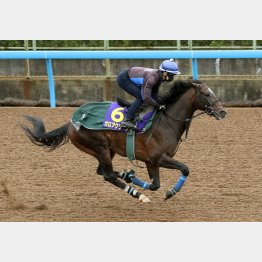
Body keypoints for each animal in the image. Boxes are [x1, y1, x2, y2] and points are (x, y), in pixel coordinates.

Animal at [21, 80, 225, 203]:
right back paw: (137, 194)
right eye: (207, 94)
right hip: (100, 147)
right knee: (108, 175)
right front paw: (170, 192)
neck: (166, 121)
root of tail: (71, 122)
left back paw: (128, 177)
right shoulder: (158, 158)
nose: (222, 111)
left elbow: (155, 184)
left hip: (106, 150)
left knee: (102, 172)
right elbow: (185, 169)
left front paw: (134, 178)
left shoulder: (150, 161)